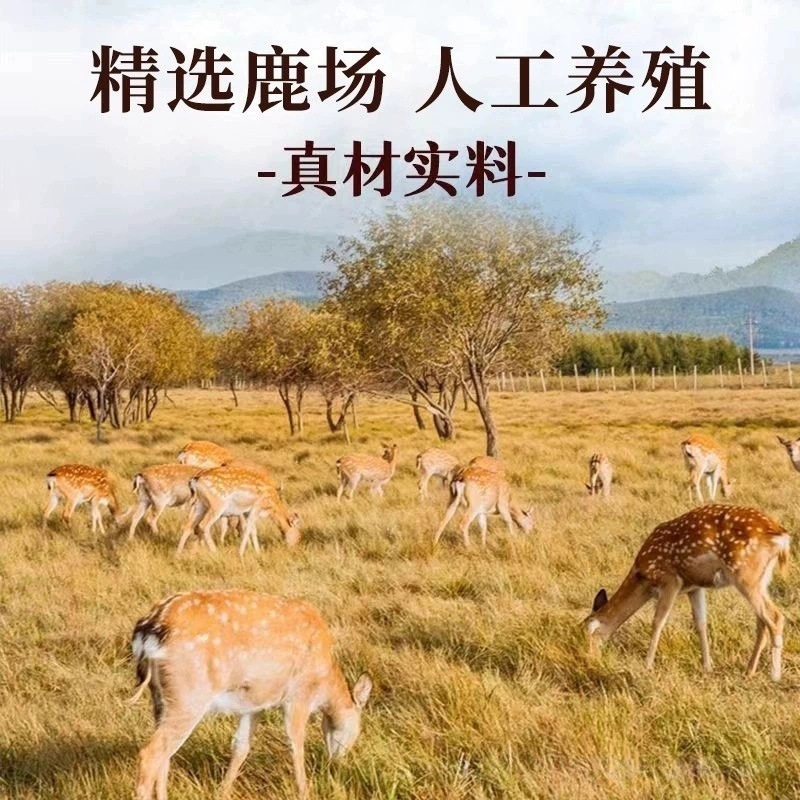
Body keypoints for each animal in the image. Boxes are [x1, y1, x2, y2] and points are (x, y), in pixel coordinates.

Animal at [130, 589, 373, 800]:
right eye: (357, 730)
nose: (336, 763)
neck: (324, 683)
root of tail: (150, 629)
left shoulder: (254, 702)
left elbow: (241, 746)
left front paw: (223, 792)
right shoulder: (298, 695)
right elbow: (296, 743)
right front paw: (304, 792)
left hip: (161, 697)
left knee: (164, 755)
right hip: (189, 694)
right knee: (151, 754)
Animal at [584, 504, 790, 681]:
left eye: (588, 634)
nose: (590, 661)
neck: (643, 577)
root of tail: (781, 537)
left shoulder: (671, 580)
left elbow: (658, 621)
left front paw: (647, 666)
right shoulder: (694, 587)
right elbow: (701, 623)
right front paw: (707, 667)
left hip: (745, 574)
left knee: (775, 616)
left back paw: (775, 675)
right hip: (762, 578)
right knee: (762, 621)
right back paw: (749, 671)